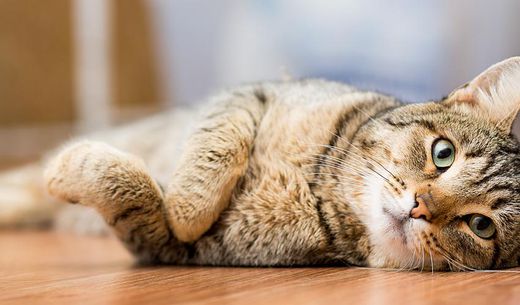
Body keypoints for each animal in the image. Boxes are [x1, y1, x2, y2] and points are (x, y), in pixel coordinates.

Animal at [1, 56, 520, 268]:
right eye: (442, 153)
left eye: (481, 227)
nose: (419, 207)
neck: (318, 184)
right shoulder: (251, 94)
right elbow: (217, 149)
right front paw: (189, 204)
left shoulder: (170, 246)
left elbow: (140, 194)